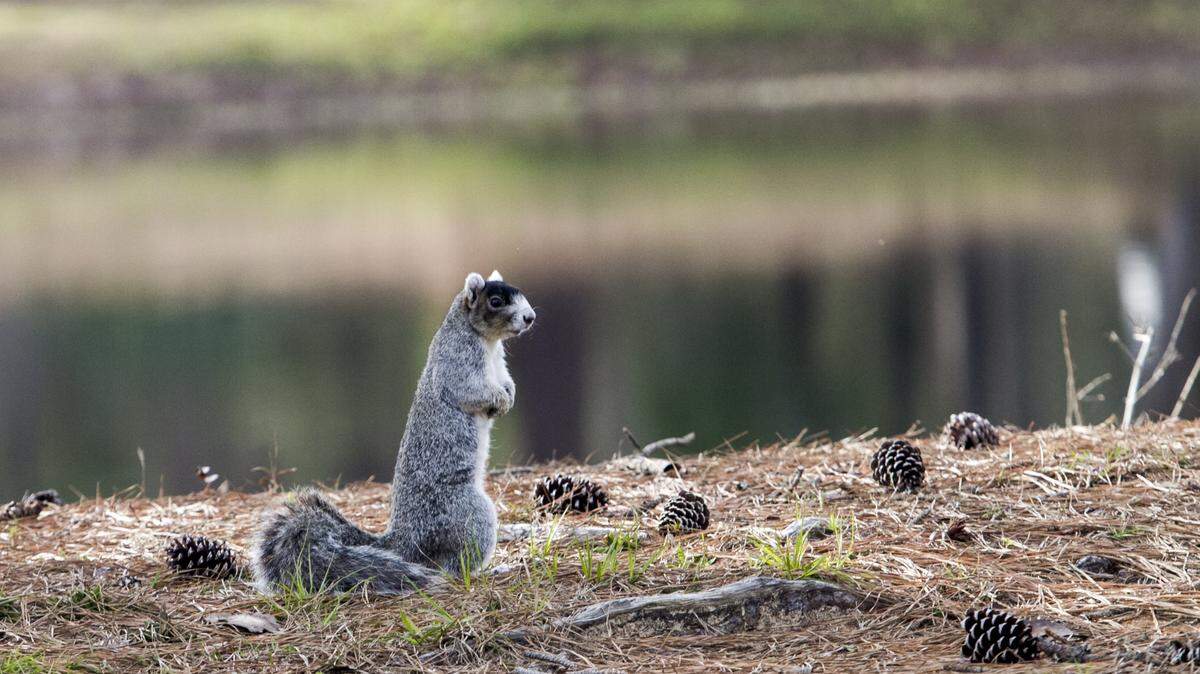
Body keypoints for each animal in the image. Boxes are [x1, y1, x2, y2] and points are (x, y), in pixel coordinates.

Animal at [251, 270, 536, 594]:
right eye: (496, 301)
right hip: (469, 511)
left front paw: (508, 396)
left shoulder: (498, 363)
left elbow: (506, 380)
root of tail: (404, 542)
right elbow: (468, 389)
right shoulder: (457, 361)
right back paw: (487, 570)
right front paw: (498, 401)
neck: (488, 342)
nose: (530, 317)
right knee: (453, 564)